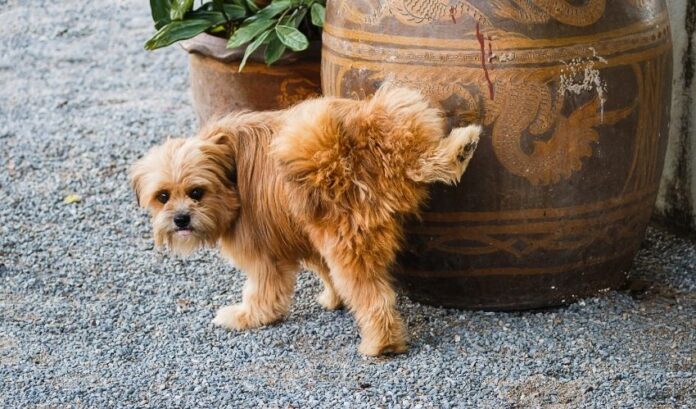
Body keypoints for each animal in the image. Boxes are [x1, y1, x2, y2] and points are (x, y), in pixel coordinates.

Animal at [130, 86, 478, 354]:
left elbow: (264, 292)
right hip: (397, 115)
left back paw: (381, 345)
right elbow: (323, 270)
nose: (181, 219)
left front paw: (248, 316)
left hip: (346, 236)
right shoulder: (303, 233)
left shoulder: (264, 254)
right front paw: (333, 299)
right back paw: (461, 148)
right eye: (163, 196)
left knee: (374, 297)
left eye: (196, 192)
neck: (230, 174)